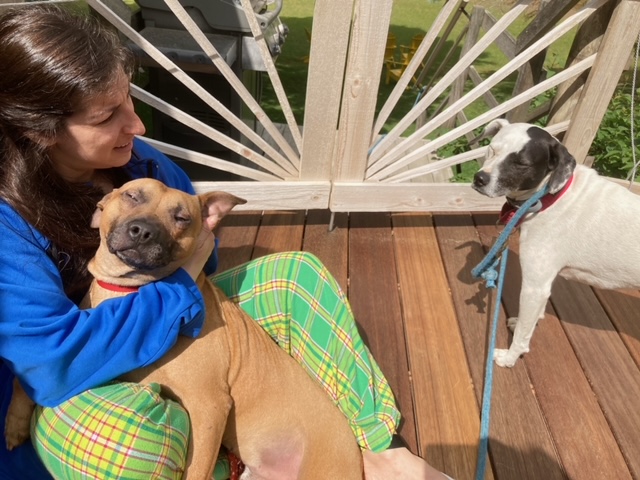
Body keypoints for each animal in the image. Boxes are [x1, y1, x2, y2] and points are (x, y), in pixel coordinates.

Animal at [6, 178, 362, 479]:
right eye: (131, 196)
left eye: (182, 218)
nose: (143, 231)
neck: (129, 292)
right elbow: (27, 374)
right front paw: (15, 423)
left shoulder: (209, 406)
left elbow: (197, 469)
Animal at [472, 119, 640, 368]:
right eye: (492, 149)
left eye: (521, 163)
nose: (479, 179)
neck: (550, 198)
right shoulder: (542, 283)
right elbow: (531, 319)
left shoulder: (534, 285)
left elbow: (522, 336)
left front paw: (509, 358)